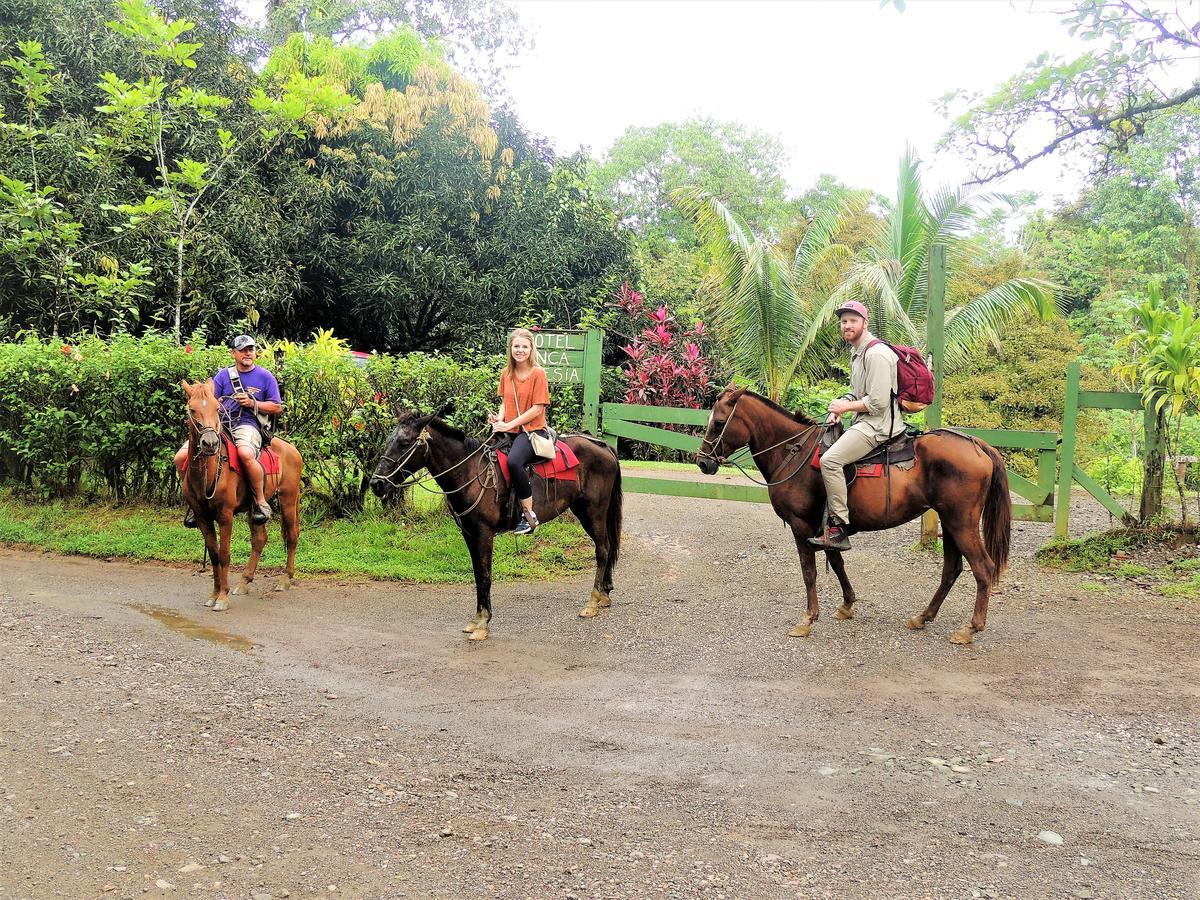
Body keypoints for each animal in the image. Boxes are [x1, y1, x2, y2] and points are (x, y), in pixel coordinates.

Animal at [182, 381, 307, 614]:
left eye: (217, 408)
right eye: (192, 409)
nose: (210, 443)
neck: (209, 471)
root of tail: (291, 449)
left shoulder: (225, 516)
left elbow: (224, 555)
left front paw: (222, 597)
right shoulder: (203, 517)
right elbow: (213, 554)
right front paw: (214, 594)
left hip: (288, 498)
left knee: (292, 535)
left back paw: (285, 579)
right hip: (253, 507)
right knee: (260, 539)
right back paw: (244, 581)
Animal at [369, 415, 624, 643]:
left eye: (404, 443)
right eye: (390, 440)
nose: (376, 483)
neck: (471, 472)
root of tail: (602, 446)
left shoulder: (484, 532)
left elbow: (485, 576)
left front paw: (482, 624)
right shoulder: (469, 533)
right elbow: (477, 575)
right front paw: (476, 619)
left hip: (593, 511)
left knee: (603, 550)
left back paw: (592, 602)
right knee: (609, 548)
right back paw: (604, 594)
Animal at [696, 391, 1012, 643]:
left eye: (720, 422)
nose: (702, 462)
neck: (793, 452)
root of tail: (977, 445)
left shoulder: (801, 526)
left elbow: (809, 572)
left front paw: (808, 619)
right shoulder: (826, 527)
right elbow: (836, 562)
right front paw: (847, 604)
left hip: (961, 522)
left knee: (982, 568)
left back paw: (971, 628)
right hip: (949, 521)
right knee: (951, 570)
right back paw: (923, 617)